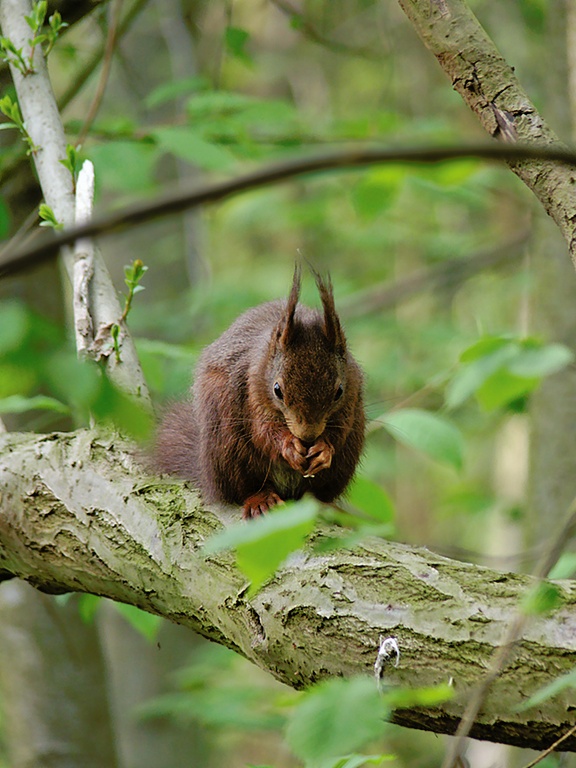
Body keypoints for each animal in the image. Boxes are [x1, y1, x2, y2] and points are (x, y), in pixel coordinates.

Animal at [154, 266, 365, 519]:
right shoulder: (250, 386)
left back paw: (323, 506)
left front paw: (324, 449)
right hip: (227, 445)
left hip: (347, 456)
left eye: (338, 392)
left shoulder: (352, 394)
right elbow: (262, 430)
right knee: (244, 488)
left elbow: (340, 429)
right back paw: (261, 500)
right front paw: (288, 446)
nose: (307, 436)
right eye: (277, 390)